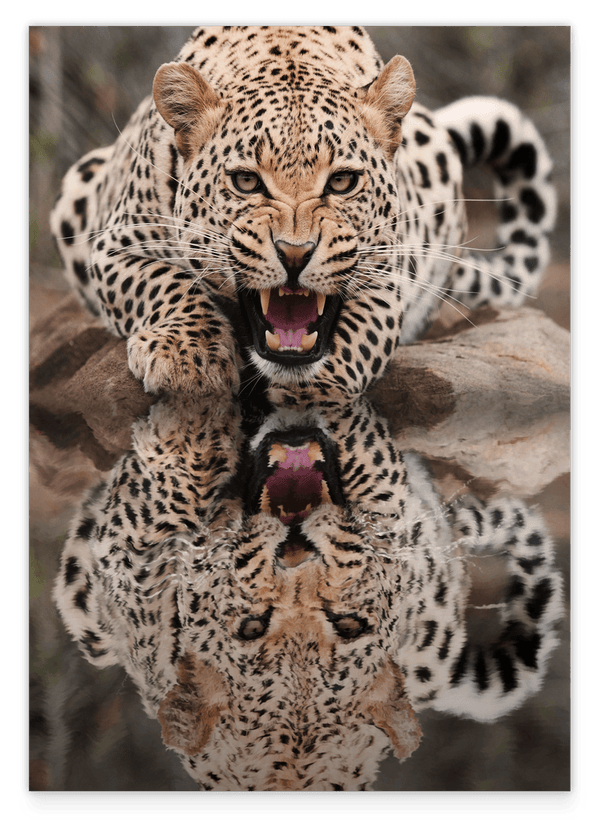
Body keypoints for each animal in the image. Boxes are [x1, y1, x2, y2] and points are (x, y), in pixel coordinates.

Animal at [50, 25, 556, 398]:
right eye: (246, 182)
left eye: (343, 182)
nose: (295, 254)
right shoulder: (114, 245)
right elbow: (164, 283)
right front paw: (188, 358)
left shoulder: (387, 276)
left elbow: (356, 341)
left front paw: (315, 396)